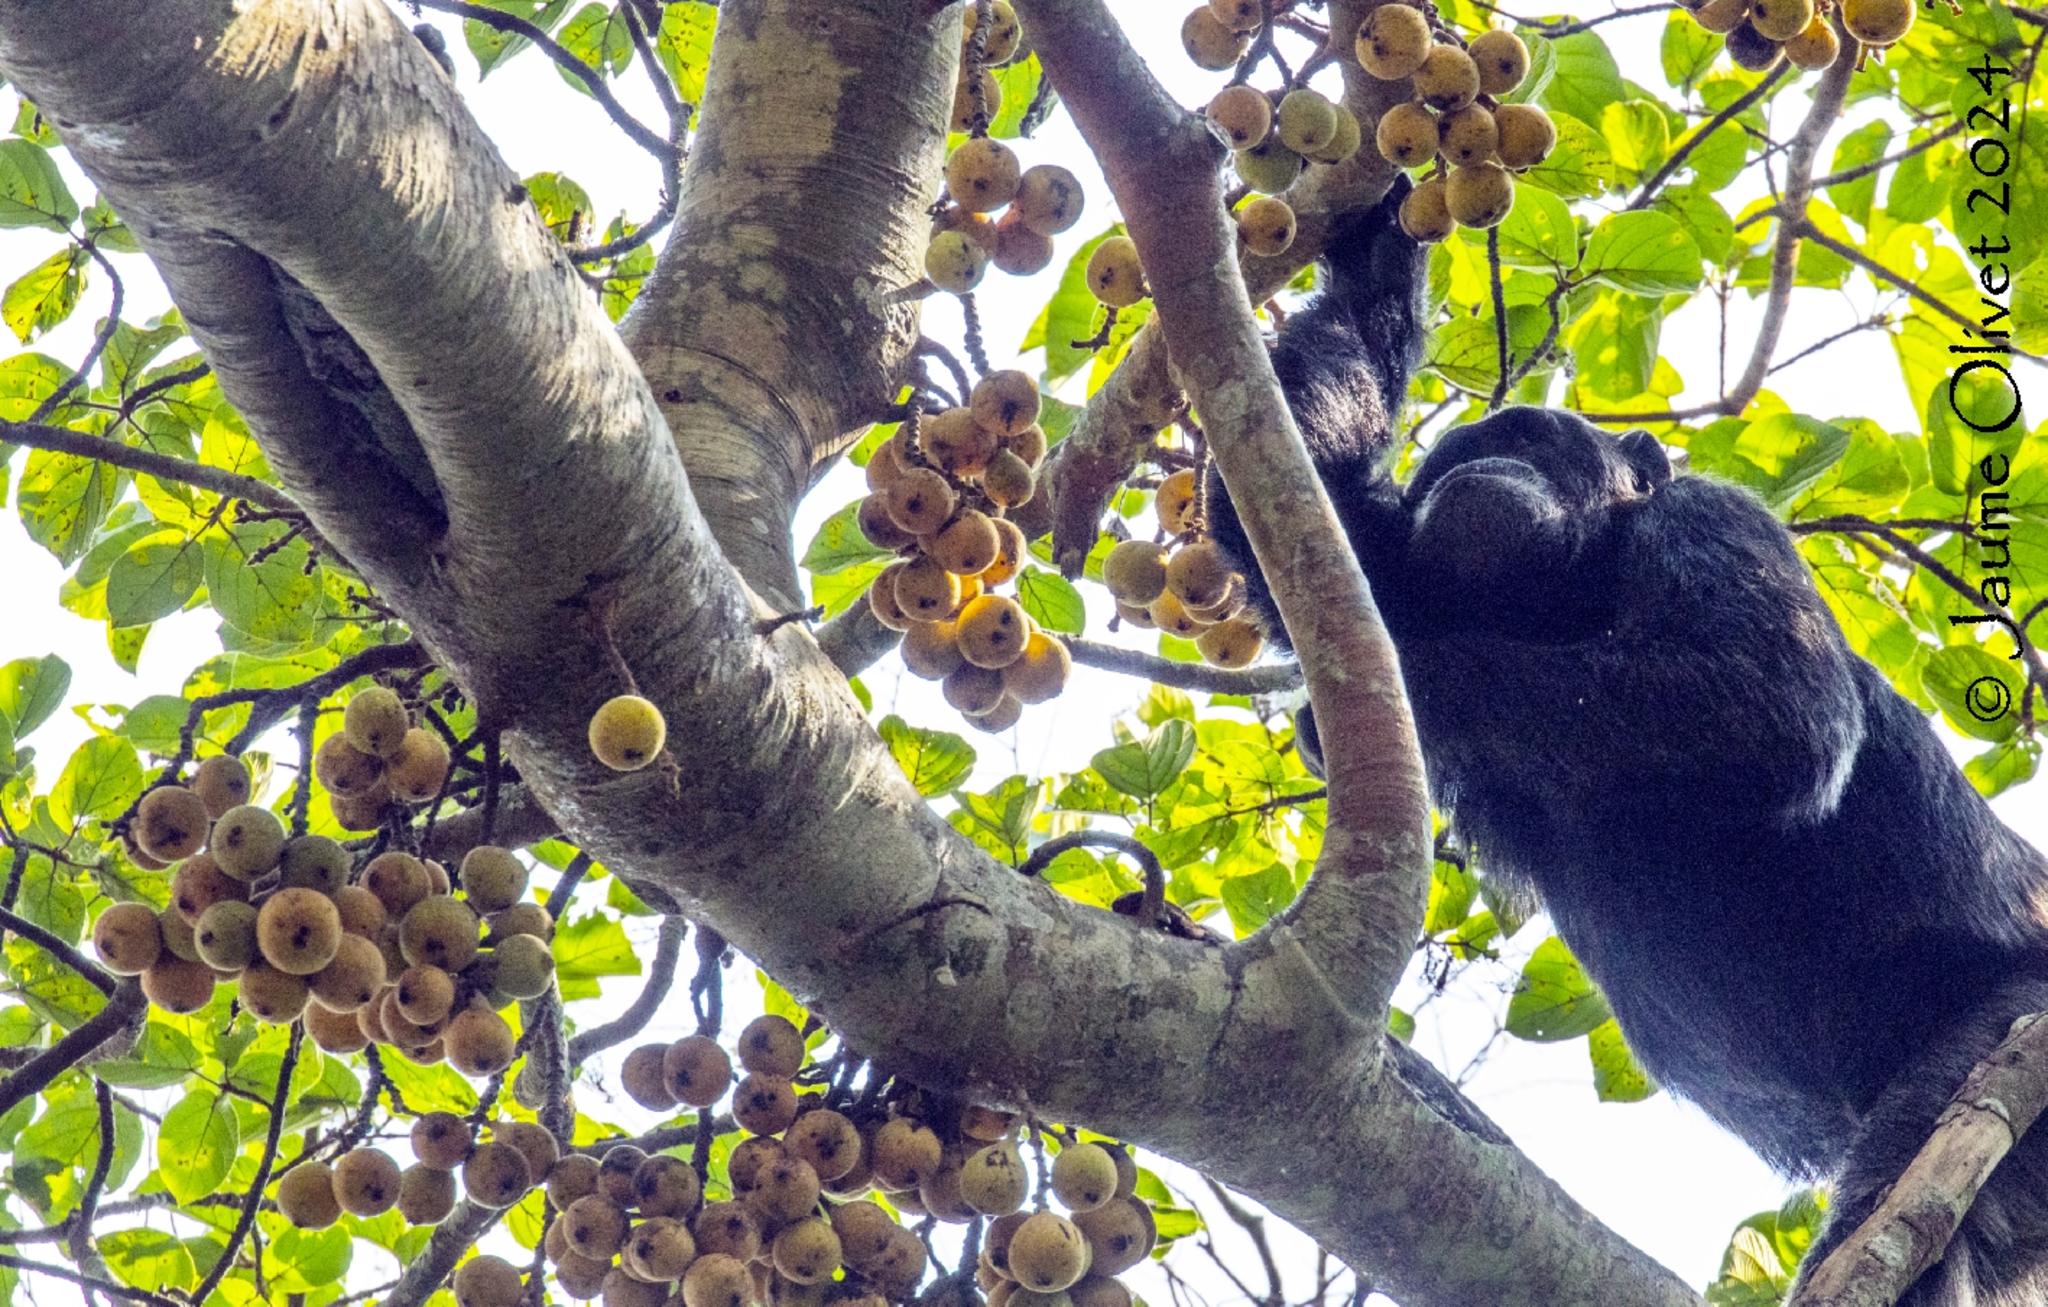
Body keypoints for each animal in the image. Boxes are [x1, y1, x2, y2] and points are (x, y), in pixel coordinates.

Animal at [1196, 186, 2048, 1307]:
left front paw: (1388, 692)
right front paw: (1375, 240)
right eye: (1446, 460)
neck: (1565, 592)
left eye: (1529, 434)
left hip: (2019, 1028)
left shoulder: (1712, 520)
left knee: (1917, 1175)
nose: (1483, 461)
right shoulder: (1388, 565)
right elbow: (1287, 495)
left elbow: (1767, 703)